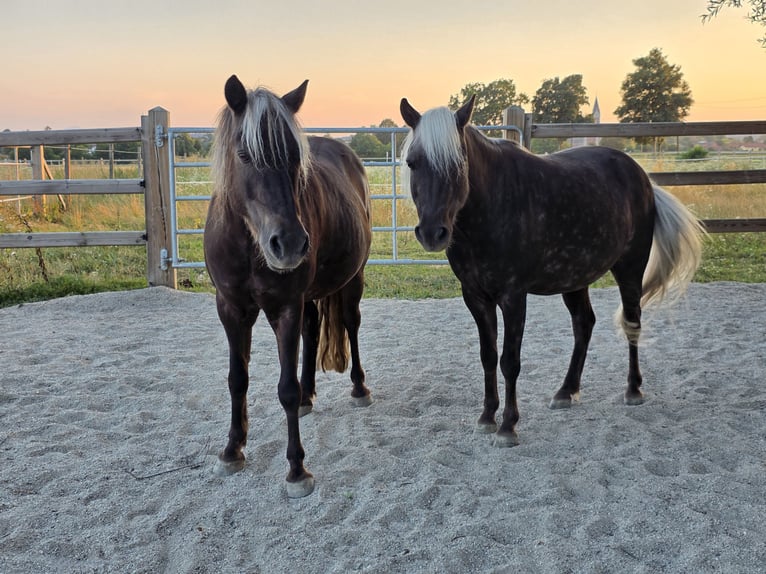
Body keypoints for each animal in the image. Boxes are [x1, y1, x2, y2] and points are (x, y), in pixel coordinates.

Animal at [204, 75, 372, 497]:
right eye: (244, 154)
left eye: (296, 157)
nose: (291, 243)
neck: (249, 244)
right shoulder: (231, 309)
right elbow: (238, 380)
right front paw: (232, 449)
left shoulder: (285, 308)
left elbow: (286, 389)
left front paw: (297, 468)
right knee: (313, 331)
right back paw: (311, 394)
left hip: (353, 280)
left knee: (350, 324)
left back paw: (359, 389)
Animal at [399, 95, 704, 447]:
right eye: (412, 163)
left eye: (457, 165)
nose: (432, 233)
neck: (491, 207)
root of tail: (642, 178)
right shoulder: (475, 297)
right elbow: (488, 355)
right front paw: (487, 417)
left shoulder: (513, 297)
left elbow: (509, 361)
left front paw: (508, 426)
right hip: (575, 279)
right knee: (584, 324)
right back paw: (566, 391)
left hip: (629, 269)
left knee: (632, 323)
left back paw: (633, 389)